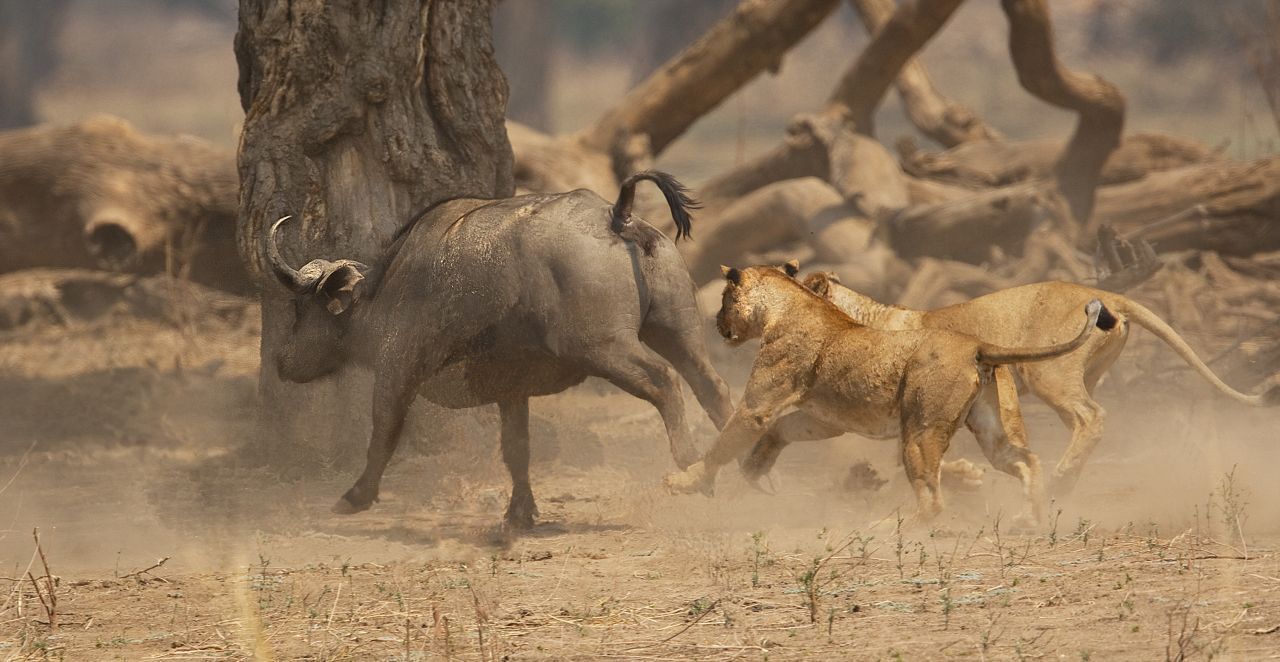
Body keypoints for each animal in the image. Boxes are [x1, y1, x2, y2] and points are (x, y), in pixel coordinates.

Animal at [264, 170, 752, 527]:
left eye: (299, 308)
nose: (281, 361)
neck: (386, 290)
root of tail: (617, 216)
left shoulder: (397, 372)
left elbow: (382, 435)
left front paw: (354, 497)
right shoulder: (512, 390)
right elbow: (517, 449)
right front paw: (520, 513)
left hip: (606, 348)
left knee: (665, 383)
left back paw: (693, 470)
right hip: (677, 331)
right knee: (713, 387)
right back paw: (750, 473)